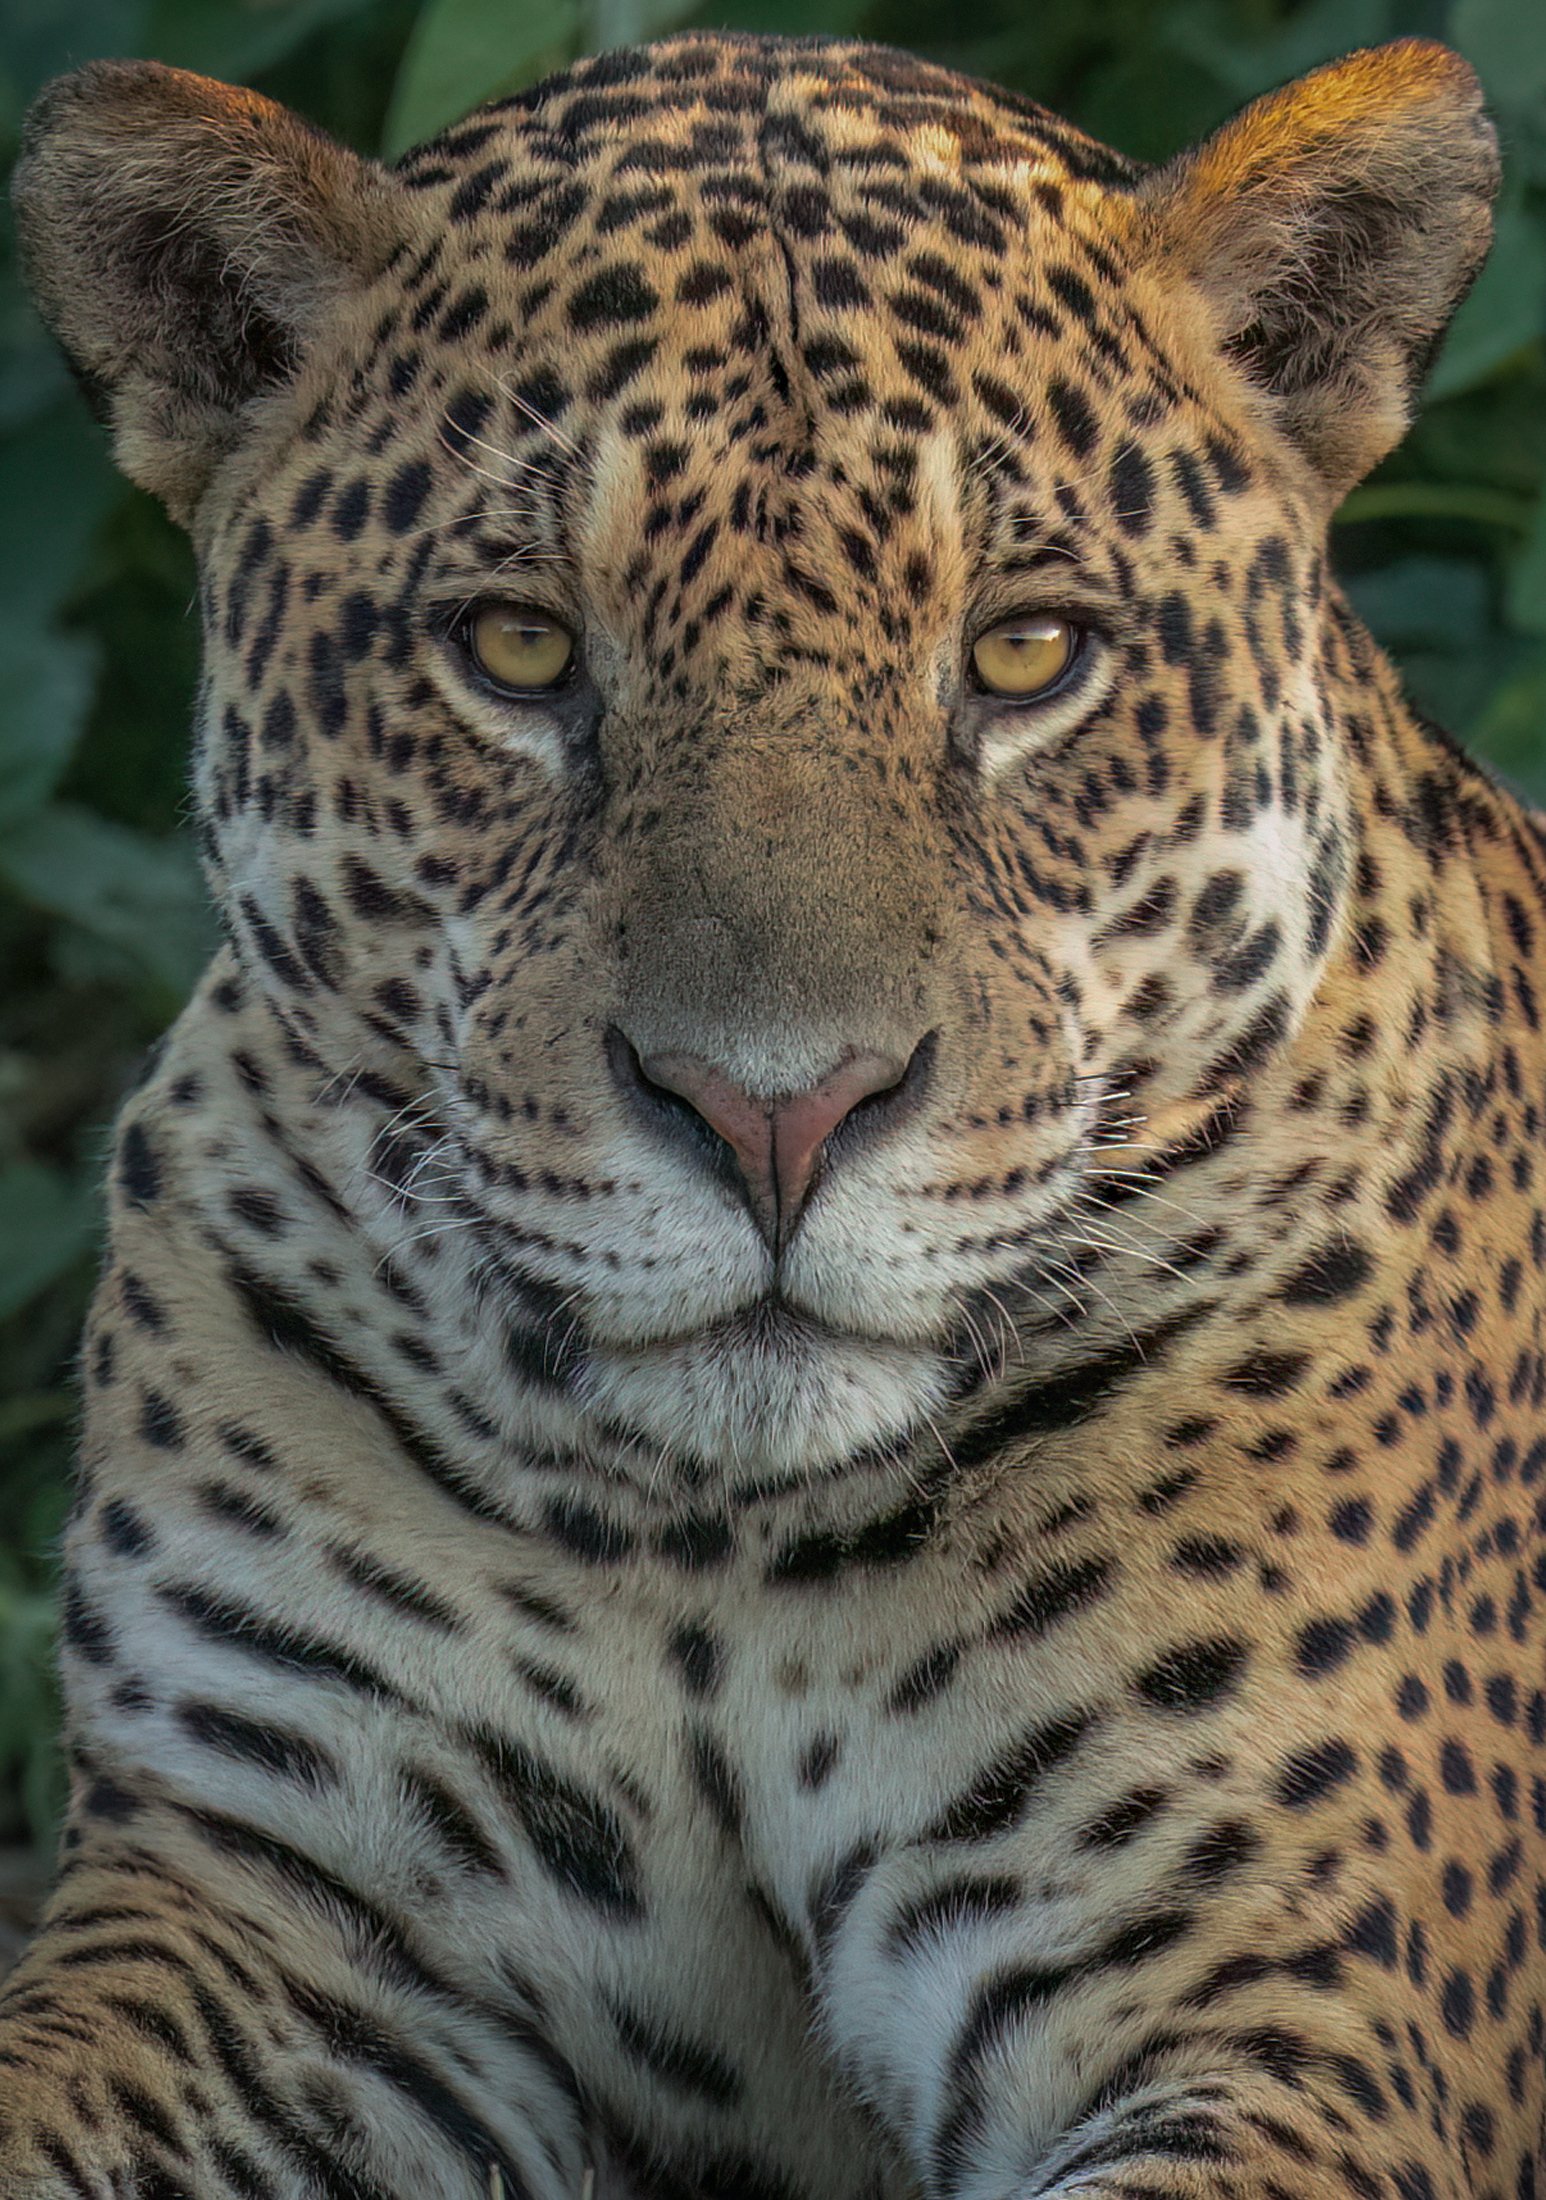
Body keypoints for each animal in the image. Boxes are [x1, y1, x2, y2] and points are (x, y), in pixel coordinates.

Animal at [4, 25, 1541, 2200]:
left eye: (1026, 652)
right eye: (518, 647)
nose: (774, 1116)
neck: (713, 1551)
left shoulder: (1283, 1990)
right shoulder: (283, 1902)